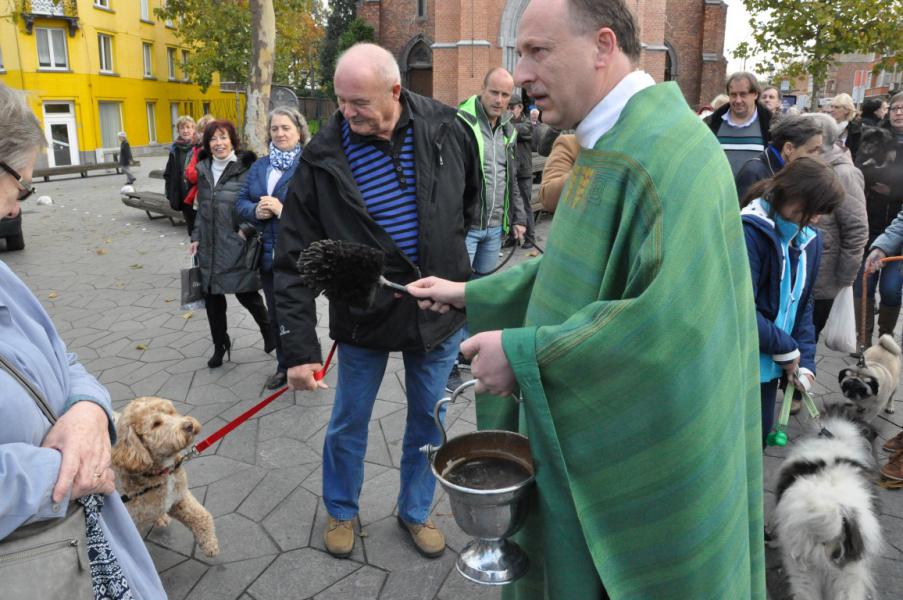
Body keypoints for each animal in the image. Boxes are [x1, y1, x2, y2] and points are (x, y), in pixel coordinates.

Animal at [112, 398, 220, 556]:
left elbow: (201, 515)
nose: (189, 425)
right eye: (156, 424)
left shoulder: (178, 497)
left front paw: (209, 543)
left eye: (170, 412)